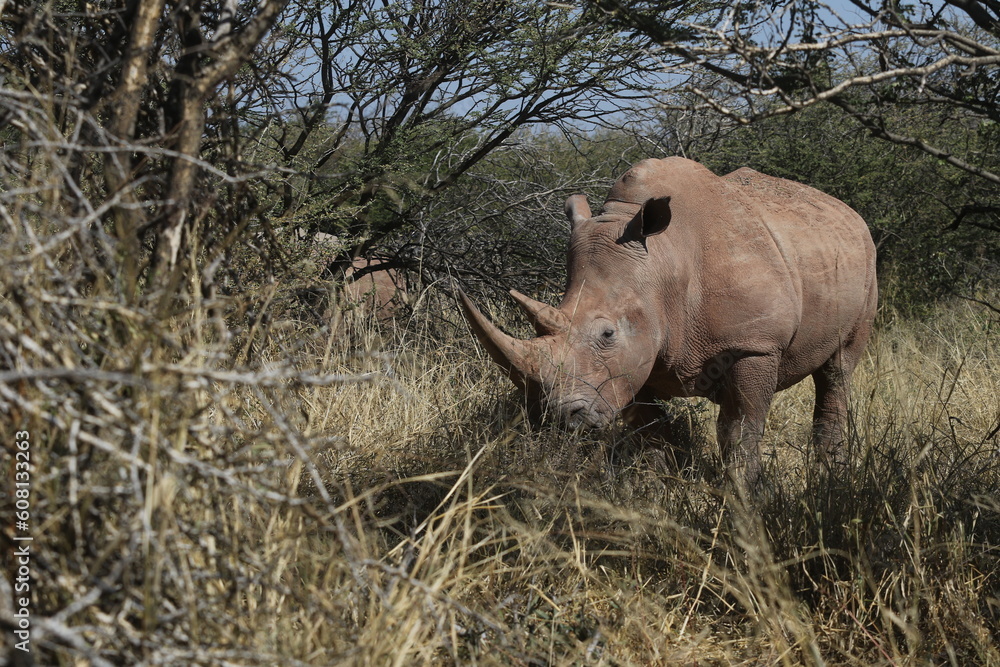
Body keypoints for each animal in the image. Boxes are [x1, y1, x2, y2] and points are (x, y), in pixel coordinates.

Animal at [459, 158, 877, 489]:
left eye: (607, 333)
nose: (558, 420)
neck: (664, 265)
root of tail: (849, 212)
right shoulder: (637, 358)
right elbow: (651, 429)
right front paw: (657, 484)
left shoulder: (755, 344)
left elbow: (740, 428)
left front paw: (744, 493)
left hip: (866, 261)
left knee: (838, 370)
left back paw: (829, 476)